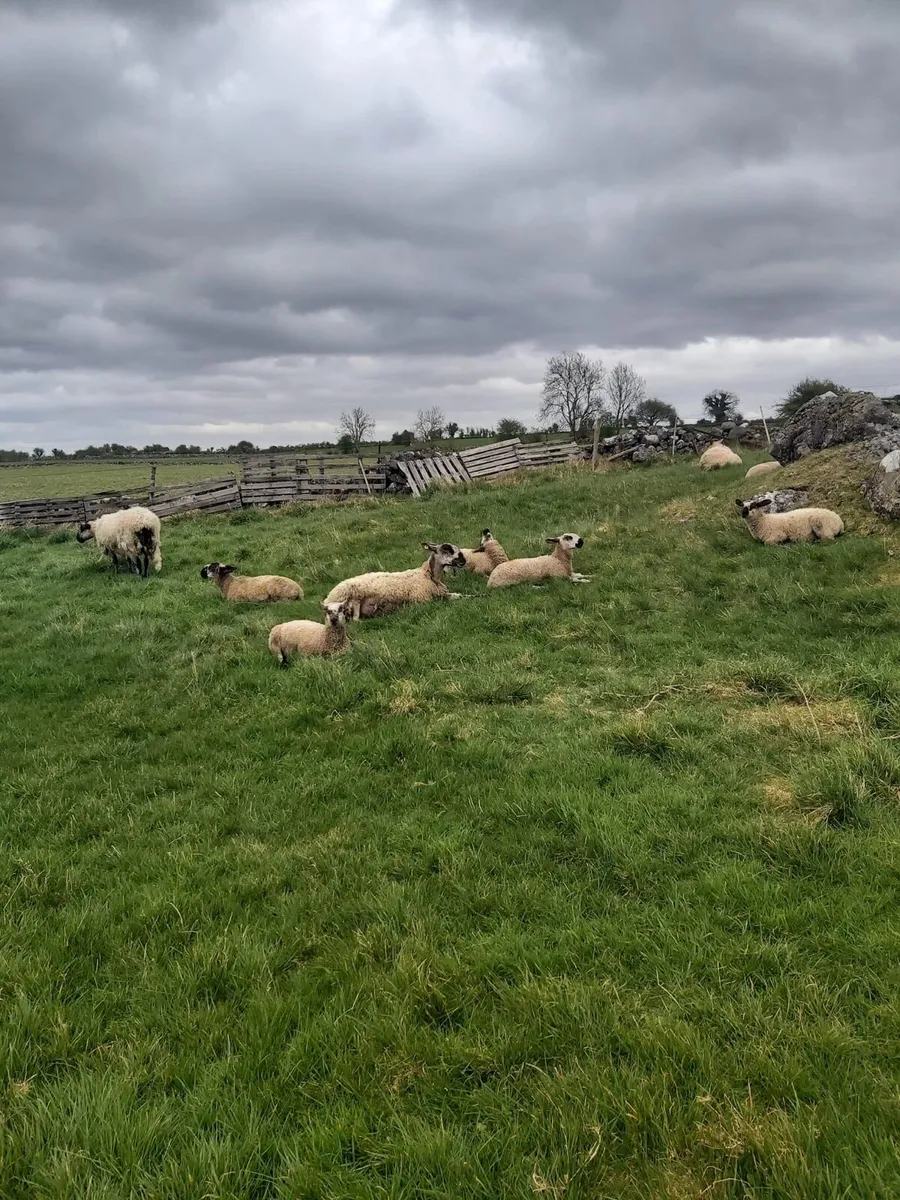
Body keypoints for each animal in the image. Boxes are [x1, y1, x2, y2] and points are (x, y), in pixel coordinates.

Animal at [323, 542, 466, 620]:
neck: (428, 576)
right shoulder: (423, 599)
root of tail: (328, 598)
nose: (463, 561)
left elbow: (458, 595)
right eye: (446, 549)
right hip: (353, 599)